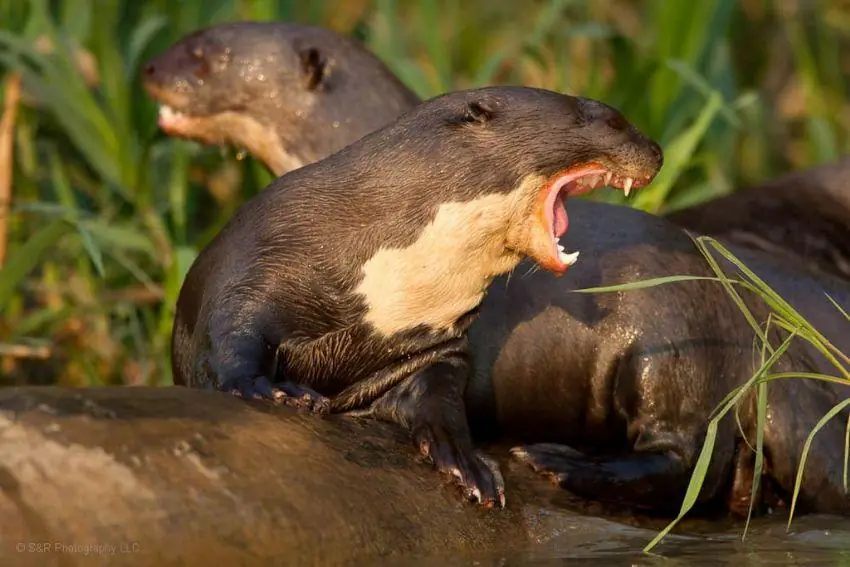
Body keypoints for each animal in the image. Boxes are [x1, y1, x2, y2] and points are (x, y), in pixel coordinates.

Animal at [172, 86, 662, 508]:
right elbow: (229, 335)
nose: (657, 151)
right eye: (613, 119)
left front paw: (467, 463)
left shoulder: (436, 346)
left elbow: (440, 398)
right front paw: (270, 389)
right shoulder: (253, 263)